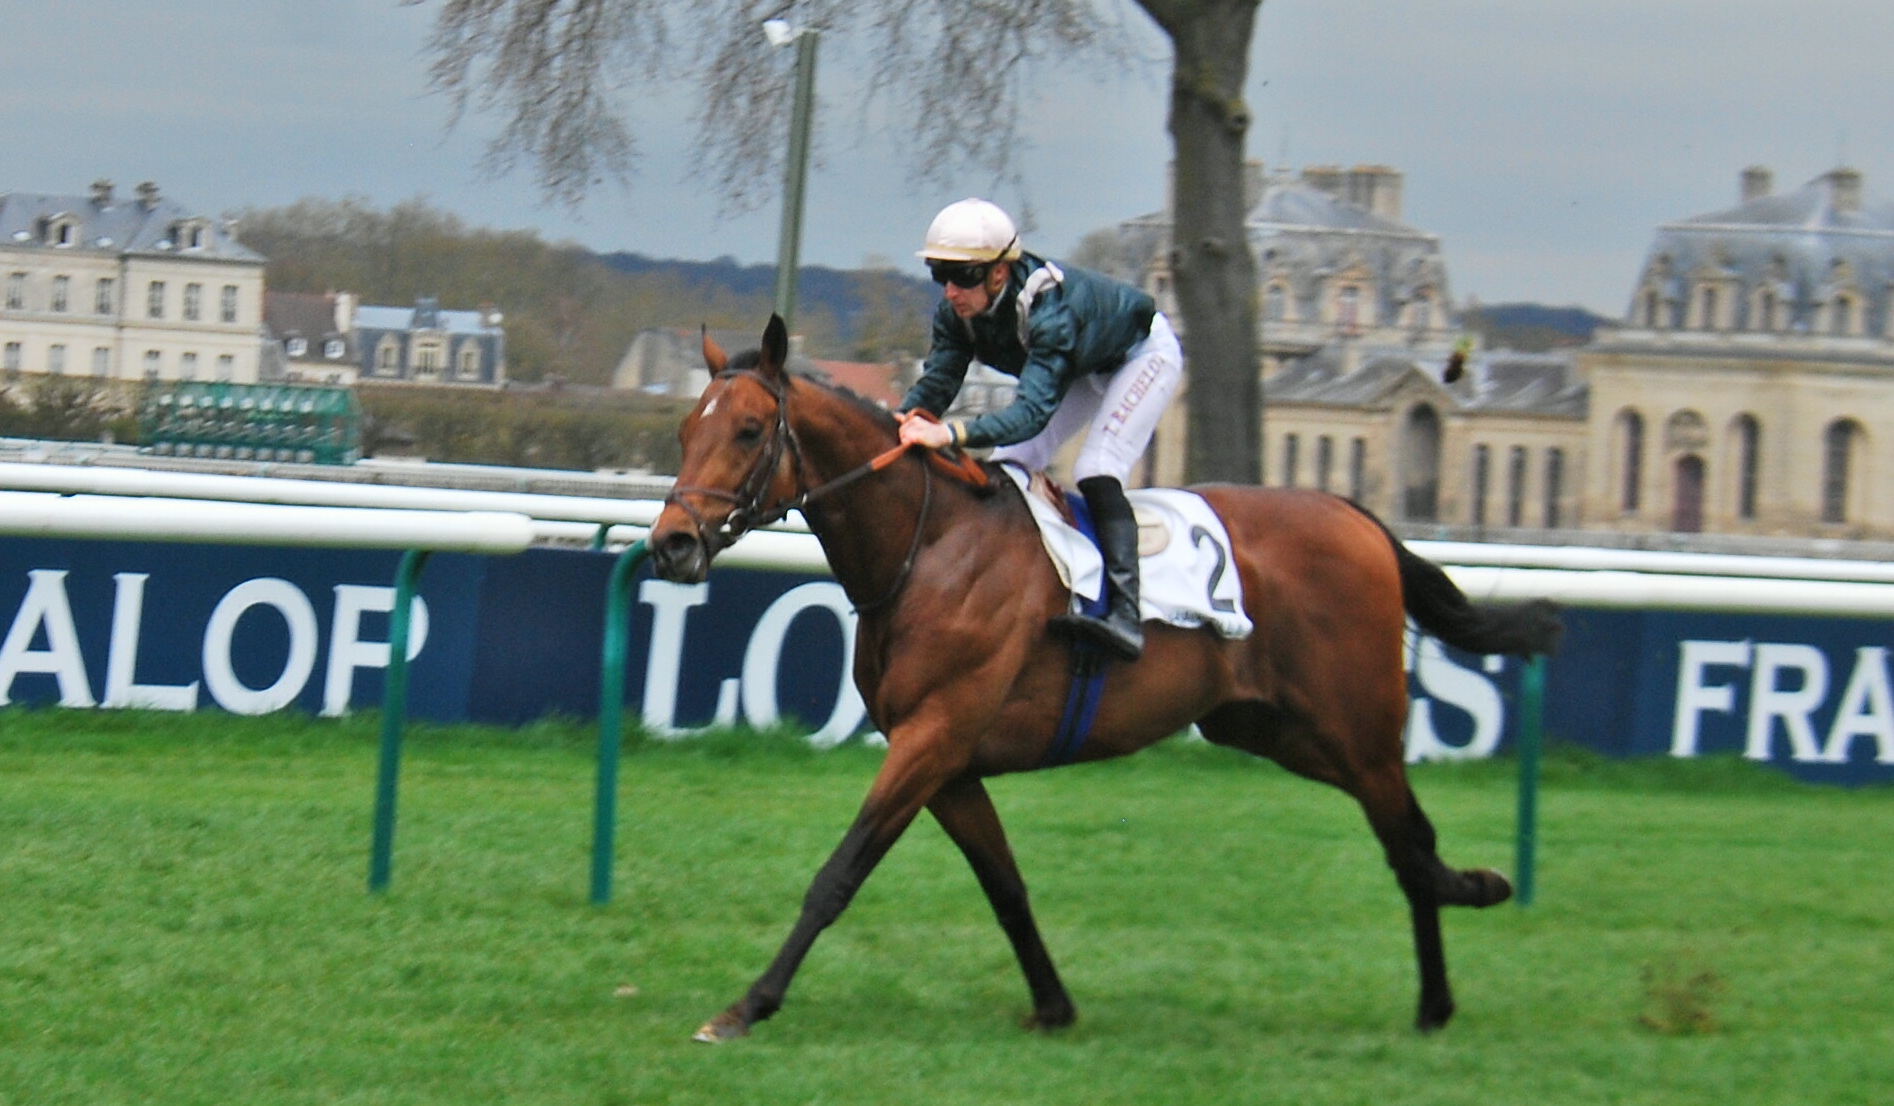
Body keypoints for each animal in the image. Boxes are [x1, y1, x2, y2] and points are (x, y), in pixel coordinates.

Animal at [643, 316, 1560, 1037]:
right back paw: (1449, 957)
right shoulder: (948, 761)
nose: (672, 545)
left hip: (1356, 726)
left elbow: (837, 875)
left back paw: (1450, 961)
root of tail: (1356, 516)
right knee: (1409, 841)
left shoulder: (933, 738)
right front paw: (1053, 1005)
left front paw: (747, 1006)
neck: (928, 547)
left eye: (750, 431)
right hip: (1277, 729)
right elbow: (1005, 886)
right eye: (686, 430)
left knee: (1407, 840)